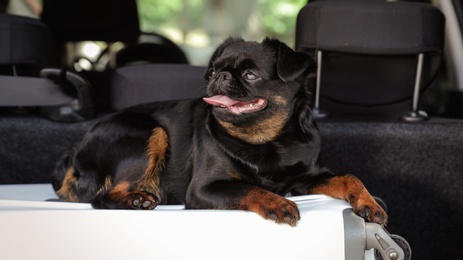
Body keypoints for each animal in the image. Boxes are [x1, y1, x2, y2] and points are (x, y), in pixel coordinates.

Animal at [51, 37, 388, 226]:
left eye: (250, 75)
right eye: (212, 71)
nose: (220, 76)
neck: (267, 141)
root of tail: (74, 150)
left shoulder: (308, 178)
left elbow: (349, 177)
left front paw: (369, 202)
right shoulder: (205, 189)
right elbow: (249, 189)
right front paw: (276, 202)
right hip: (150, 132)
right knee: (103, 197)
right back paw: (138, 200)